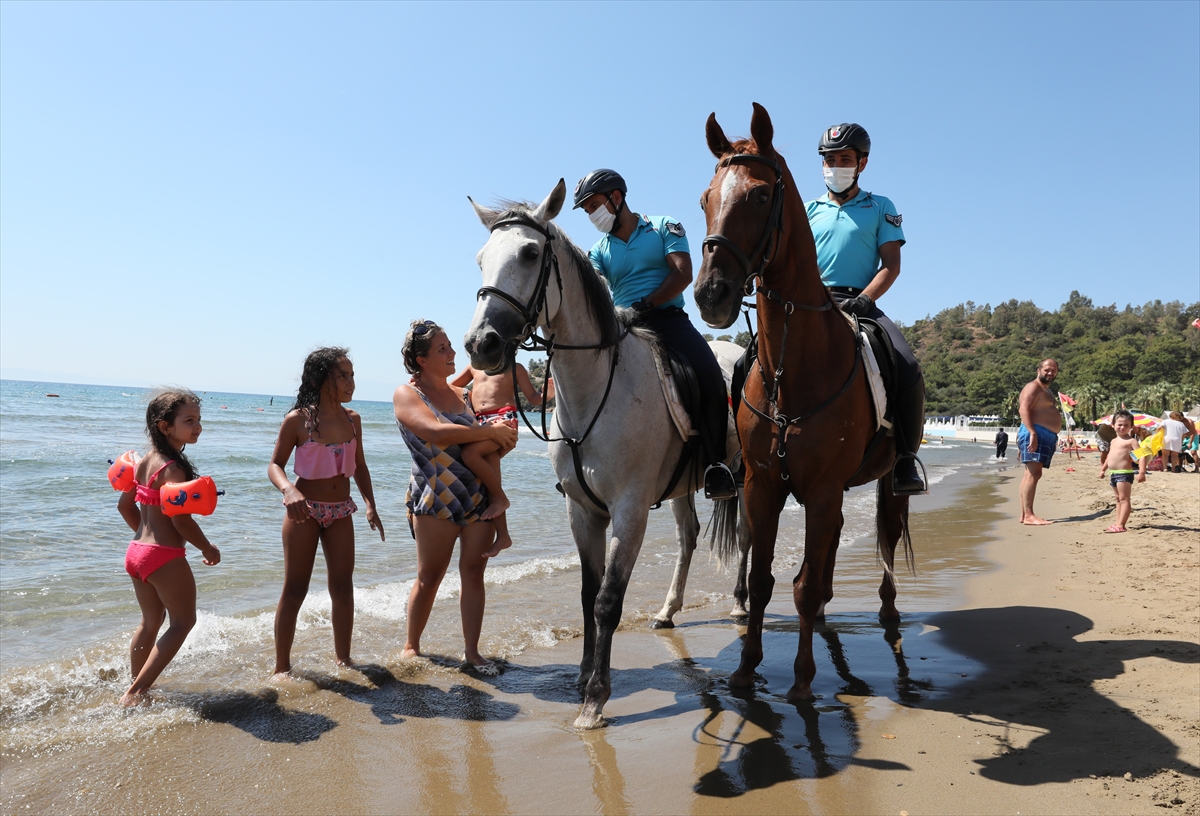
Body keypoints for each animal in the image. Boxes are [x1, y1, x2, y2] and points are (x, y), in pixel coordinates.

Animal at [463, 178, 744, 724]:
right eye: (481, 258)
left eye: (530, 253)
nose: (481, 344)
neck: (595, 389)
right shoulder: (583, 510)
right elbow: (587, 593)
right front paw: (582, 675)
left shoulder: (628, 510)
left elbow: (609, 600)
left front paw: (595, 698)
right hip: (683, 486)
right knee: (689, 536)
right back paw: (667, 611)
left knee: (746, 535)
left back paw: (743, 603)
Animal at [691, 103, 912, 700]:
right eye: (705, 198)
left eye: (761, 196)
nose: (711, 294)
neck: (797, 369)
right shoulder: (764, 485)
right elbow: (764, 580)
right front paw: (746, 670)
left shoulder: (821, 487)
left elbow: (805, 587)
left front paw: (802, 681)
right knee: (830, 546)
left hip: (883, 482)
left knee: (887, 535)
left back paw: (887, 614)